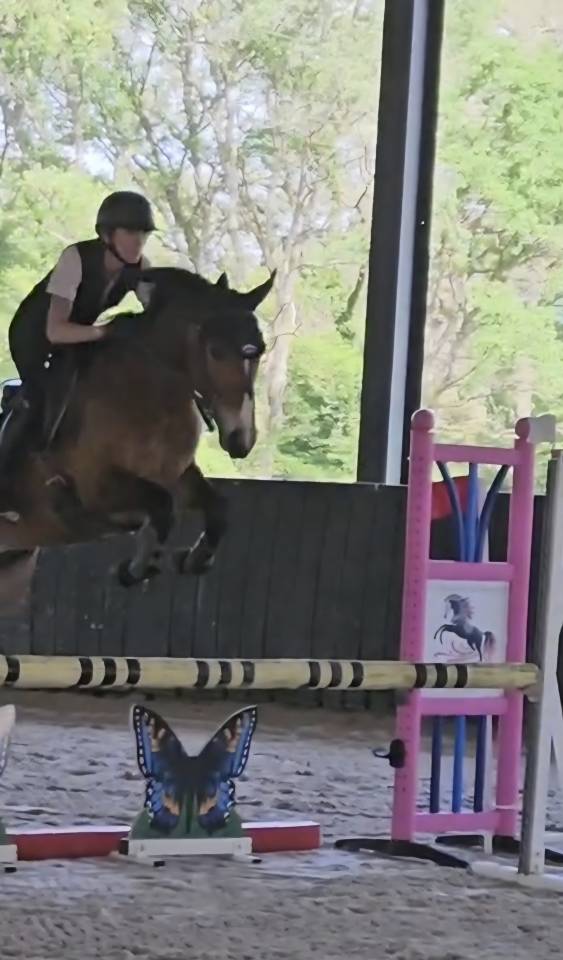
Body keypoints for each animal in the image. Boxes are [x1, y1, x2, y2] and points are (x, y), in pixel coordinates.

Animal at [0, 266, 275, 586]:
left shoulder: (178, 477)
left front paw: (194, 559)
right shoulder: (98, 485)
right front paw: (136, 568)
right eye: (215, 351)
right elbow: (162, 507)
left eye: (260, 351)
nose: (241, 440)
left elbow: (218, 508)